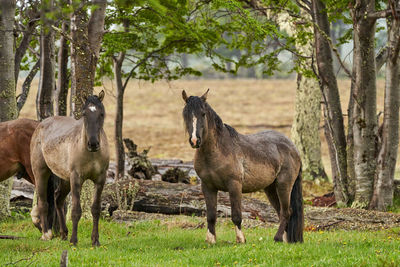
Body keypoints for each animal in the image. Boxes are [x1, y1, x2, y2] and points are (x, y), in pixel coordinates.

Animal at [30, 91, 109, 247]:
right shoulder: (76, 178)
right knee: (43, 203)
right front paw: (74, 241)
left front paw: (95, 240)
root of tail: (41, 124)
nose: (93, 144)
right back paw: (46, 234)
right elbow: (75, 211)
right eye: (84, 114)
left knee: (58, 200)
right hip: (41, 173)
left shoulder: (100, 179)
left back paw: (63, 234)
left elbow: (95, 209)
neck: (91, 154)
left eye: (102, 113)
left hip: (65, 179)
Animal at [181, 90, 304, 245]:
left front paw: (241, 239)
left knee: (286, 212)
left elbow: (236, 215)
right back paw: (285, 240)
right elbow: (211, 215)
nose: (195, 140)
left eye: (203, 113)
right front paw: (211, 240)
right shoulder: (208, 187)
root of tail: (293, 147)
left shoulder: (234, 185)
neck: (218, 150)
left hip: (284, 185)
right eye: (185, 114)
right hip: (270, 188)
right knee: (281, 211)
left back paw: (277, 238)